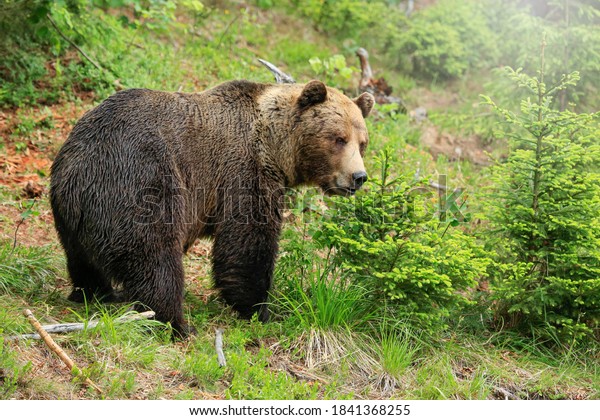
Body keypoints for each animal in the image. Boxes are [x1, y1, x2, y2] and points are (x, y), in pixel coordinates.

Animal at [49, 79, 372, 334]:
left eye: (362, 142)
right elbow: (247, 244)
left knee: (82, 260)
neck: (275, 146)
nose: (358, 177)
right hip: (139, 180)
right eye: (338, 138)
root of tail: (78, 169)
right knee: (154, 257)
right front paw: (261, 309)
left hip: (69, 212)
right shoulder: (242, 172)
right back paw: (175, 323)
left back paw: (95, 293)